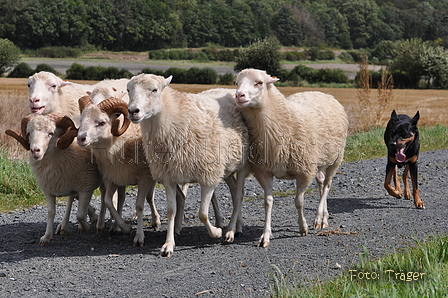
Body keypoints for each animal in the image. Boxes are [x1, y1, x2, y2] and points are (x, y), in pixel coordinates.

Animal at [5, 113, 103, 246]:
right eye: (29, 133)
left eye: (51, 133)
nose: (35, 150)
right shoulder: (49, 190)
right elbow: (51, 213)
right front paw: (46, 237)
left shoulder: (86, 188)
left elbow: (80, 215)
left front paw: (86, 226)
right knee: (72, 198)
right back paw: (65, 225)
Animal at [128, 73, 250, 258]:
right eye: (128, 90)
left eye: (154, 90)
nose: (133, 111)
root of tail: (226, 90)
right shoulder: (169, 176)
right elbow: (171, 210)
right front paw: (168, 245)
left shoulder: (209, 175)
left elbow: (203, 214)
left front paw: (216, 232)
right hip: (226, 168)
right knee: (235, 189)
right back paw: (235, 225)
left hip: (240, 165)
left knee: (238, 195)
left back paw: (230, 231)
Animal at [234, 68, 350, 248]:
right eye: (237, 83)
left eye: (259, 83)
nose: (239, 95)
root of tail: (323, 93)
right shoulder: (264, 171)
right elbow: (268, 202)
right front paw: (265, 236)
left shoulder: (304, 171)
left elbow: (299, 201)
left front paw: (303, 227)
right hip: (318, 161)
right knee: (321, 182)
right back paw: (324, 215)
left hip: (336, 159)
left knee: (326, 186)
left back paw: (319, 218)